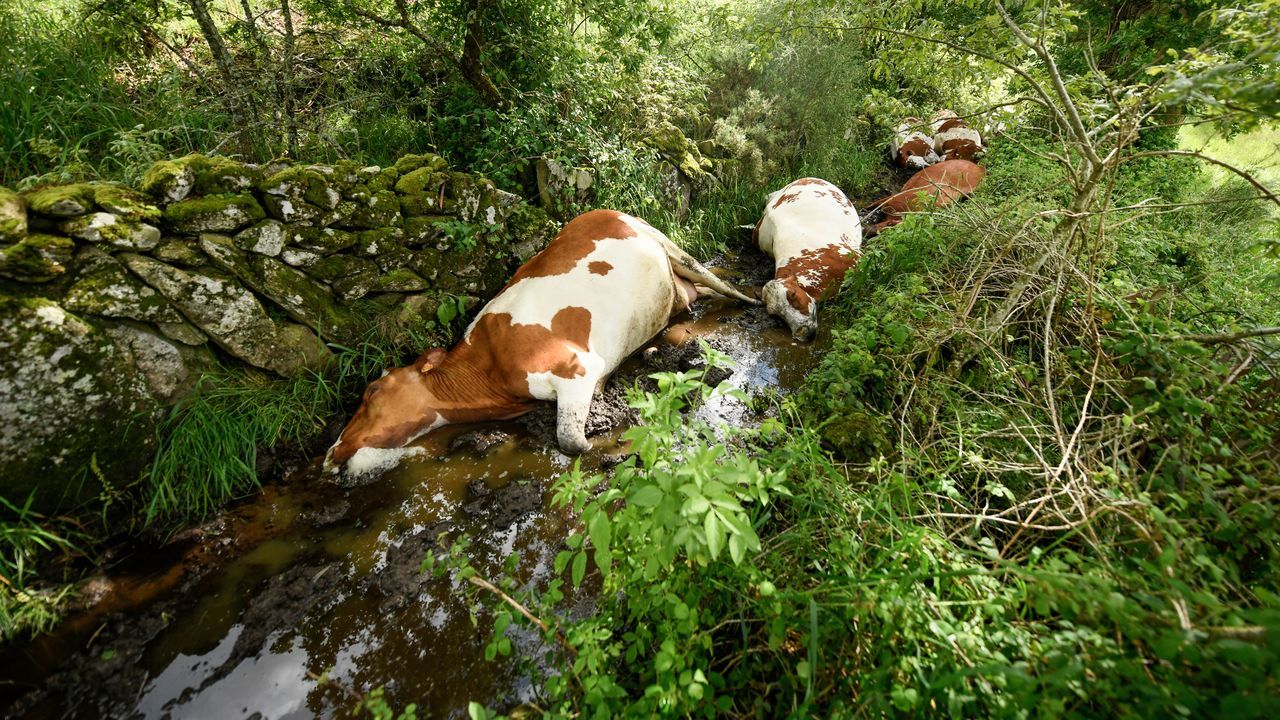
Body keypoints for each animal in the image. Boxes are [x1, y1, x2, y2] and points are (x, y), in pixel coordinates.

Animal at [323, 209, 759, 478]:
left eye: (372, 391)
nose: (331, 452)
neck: (488, 374)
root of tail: (602, 211)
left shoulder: (577, 367)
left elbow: (572, 441)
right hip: (674, 287)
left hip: (670, 246)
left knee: (716, 279)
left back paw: (753, 301)